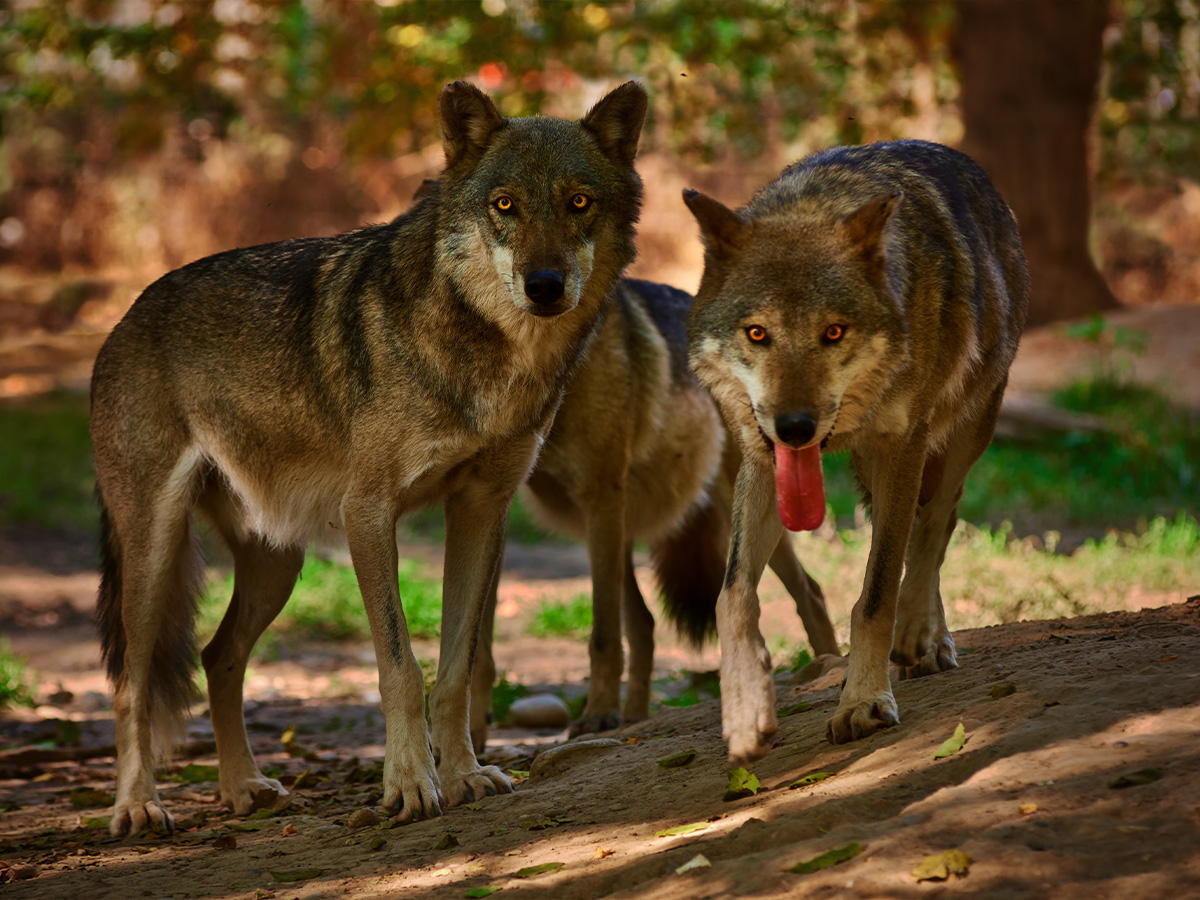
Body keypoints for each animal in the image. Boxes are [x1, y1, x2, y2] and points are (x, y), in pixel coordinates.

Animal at [88, 81, 648, 835]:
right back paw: (138, 805)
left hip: (277, 565)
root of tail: (124, 316)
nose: (545, 285)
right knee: (131, 683)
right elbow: (401, 667)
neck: (490, 358)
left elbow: (456, 666)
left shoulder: (482, 510)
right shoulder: (369, 513)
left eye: (579, 202)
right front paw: (410, 787)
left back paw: (242, 788)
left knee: (217, 655)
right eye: (504, 205)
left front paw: (464, 775)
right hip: (153, 552)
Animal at [463, 277, 840, 753]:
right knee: (643, 622)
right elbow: (477, 649)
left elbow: (603, 635)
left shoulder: (601, 496)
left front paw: (597, 716)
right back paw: (634, 718)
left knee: (811, 592)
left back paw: (831, 670)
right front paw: (469, 739)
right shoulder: (492, 507)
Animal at [681, 142, 1027, 768]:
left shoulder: (903, 445)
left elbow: (875, 593)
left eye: (834, 332)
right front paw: (745, 714)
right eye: (757, 333)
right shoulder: (760, 458)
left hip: (967, 429)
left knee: (936, 525)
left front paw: (863, 701)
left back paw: (920, 636)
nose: (795, 428)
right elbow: (732, 595)